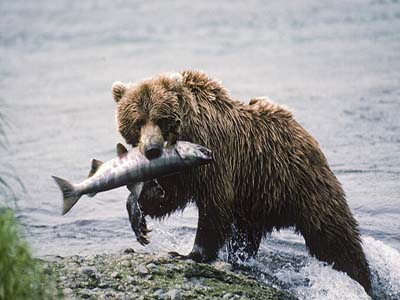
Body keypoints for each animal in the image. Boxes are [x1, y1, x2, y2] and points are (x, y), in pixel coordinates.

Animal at [111, 69, 372, 290]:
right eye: (138, 121)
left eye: (160, 118)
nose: (152, 150)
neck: (188, 131)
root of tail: (307, 136)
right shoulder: (182, 171)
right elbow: (168, 197)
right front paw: (139, 216)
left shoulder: (217, 159)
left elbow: (214, 207)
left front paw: (191, 254)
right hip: (257, 199)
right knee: (245, 237)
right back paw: (240, 258)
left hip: (302, 184)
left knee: (334, 237)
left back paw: (361, 278)